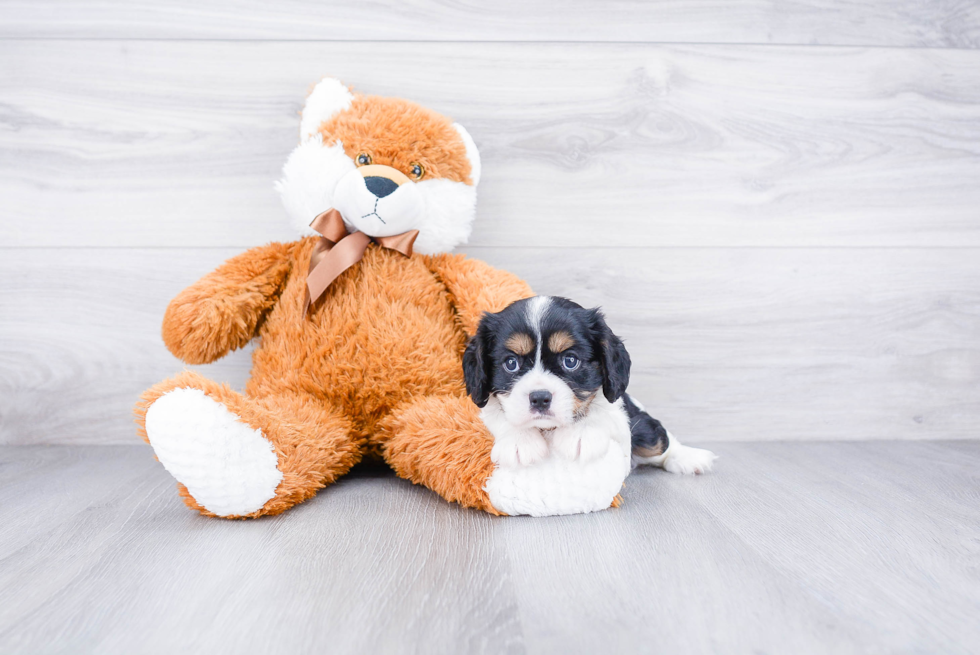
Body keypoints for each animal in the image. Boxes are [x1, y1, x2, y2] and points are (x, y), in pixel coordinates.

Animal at [464, 298, 716, 476]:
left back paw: (687, 458)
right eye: (511, 363)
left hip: (646, 431)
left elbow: (599, 407)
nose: (540, 398)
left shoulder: (618, 412)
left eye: (570, 361)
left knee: (662, 439)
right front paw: (520, 440)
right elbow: (498, 414)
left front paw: (580, 432)